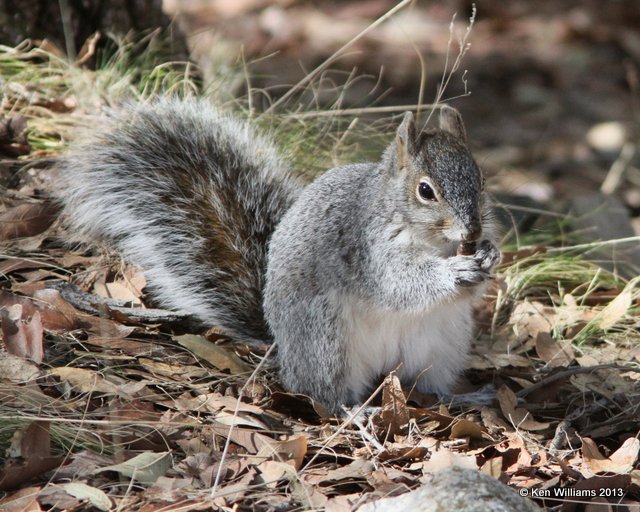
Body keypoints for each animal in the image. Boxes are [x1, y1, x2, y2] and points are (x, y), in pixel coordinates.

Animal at [56, 98, 500, 414]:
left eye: (480, 179)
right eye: (426, 190)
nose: (473, 232)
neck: (429, 240)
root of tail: (282, 348)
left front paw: (489, 255)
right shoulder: (366, 249)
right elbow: (399, 284)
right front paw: (454, 271)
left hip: (442, 344)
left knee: (426, 385)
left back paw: (462, 397)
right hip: (325, 339)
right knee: (323, 395)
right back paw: (358, 412)